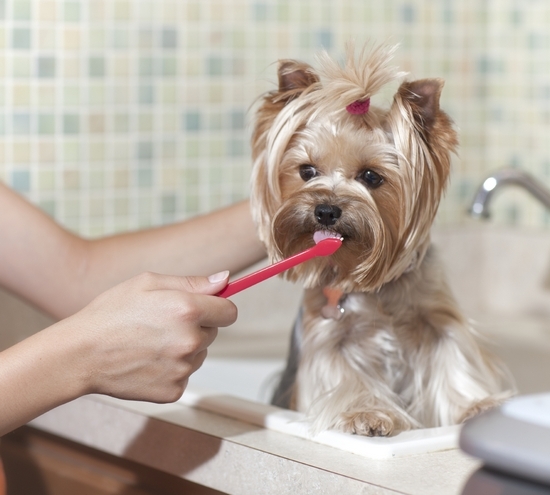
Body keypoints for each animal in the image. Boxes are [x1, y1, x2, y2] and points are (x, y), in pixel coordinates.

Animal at [250, 44, 516, 436]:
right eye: (307, 171)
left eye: (371, 177)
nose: (326, 210)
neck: (371, 283)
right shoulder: (328, 335)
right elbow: (345, 377)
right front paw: (367, 414)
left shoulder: (437, 320)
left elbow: (453, 362)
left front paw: (478, 405)